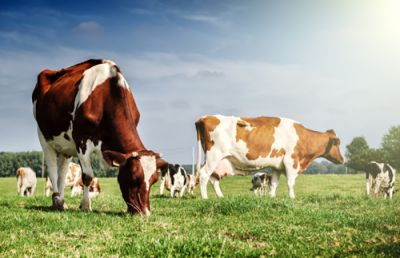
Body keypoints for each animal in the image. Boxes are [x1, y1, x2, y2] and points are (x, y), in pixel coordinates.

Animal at [32, 59, 167, 215]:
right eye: (134, 178)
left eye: (154, 180)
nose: (145, 213)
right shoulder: (82, 141)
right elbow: (87, 176)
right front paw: (86, 205)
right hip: (44, 137)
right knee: (53, 171)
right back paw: (57, 201)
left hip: (65, 147)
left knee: (62, 172)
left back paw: (62, 201)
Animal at [195, 115, 344, 200]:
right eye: (337, 143)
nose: (343, 159)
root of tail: (205, 117)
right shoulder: (291, 161)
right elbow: (291, 182)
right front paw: (292, 198)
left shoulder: (277, 166)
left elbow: (274, 183)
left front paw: (272, 197)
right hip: (214, 156)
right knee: (204, 175)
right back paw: (205, 198)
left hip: (219, 161)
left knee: (213, 178)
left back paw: (220, 197)